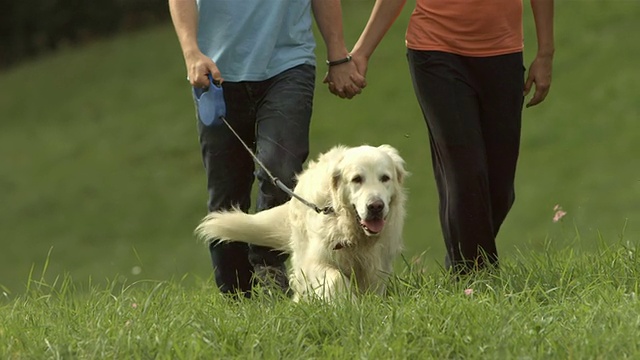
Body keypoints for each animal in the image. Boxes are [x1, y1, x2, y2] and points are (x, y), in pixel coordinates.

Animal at [192, 143, 408, 300]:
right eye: (357, 179)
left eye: (385, 178)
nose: (376, 206)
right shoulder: (315, 260)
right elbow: (335, 278)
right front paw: (346, 303)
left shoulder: (376, 264)